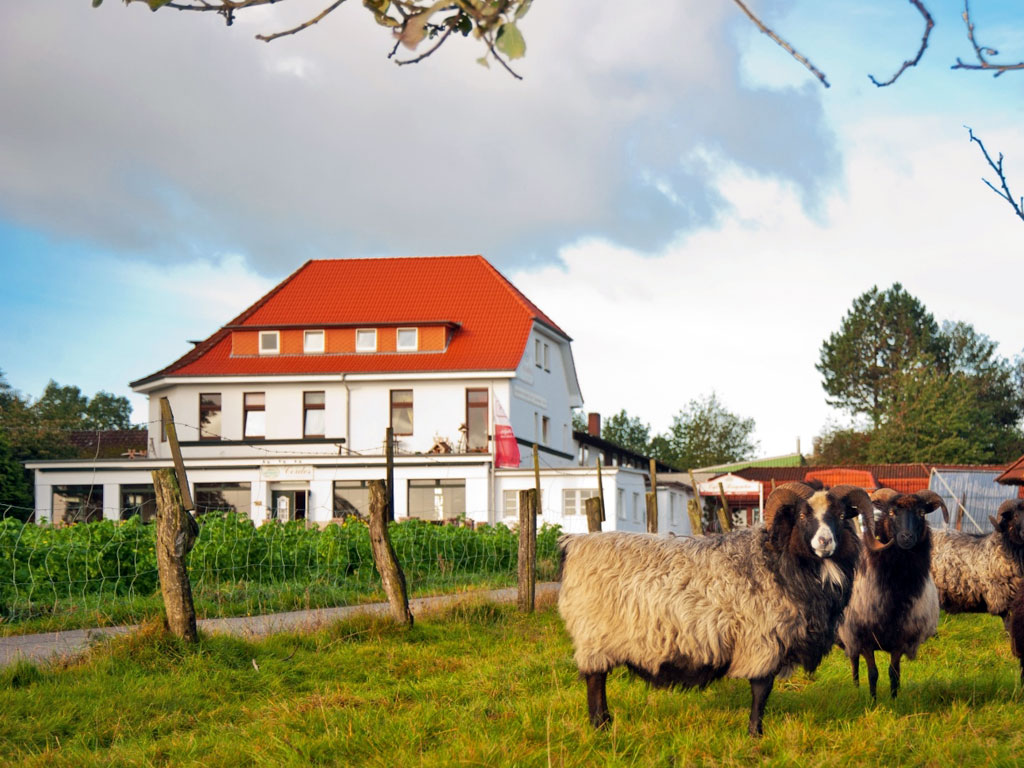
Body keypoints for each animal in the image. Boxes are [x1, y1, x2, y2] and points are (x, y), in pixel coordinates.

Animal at [557, 483, 884, 737]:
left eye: (841, 516)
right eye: (803, 515)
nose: (825, 541)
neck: (780, 561)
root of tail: (575, 544)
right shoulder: (762, 639)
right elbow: (761, 690)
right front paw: (755, 733)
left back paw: (605, 723)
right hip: (595, 635)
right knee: (595, 679)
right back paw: (600, 725)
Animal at [835, 489, 946, 700]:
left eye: (921, 513)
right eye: (892, 513)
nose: (907, 537)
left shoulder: (901, 639)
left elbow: (894, 673)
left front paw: (894, 699)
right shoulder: (865, 639)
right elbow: (873, 673)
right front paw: (873, 701)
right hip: (849, 635)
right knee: (854, 662)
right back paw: (856, 687)